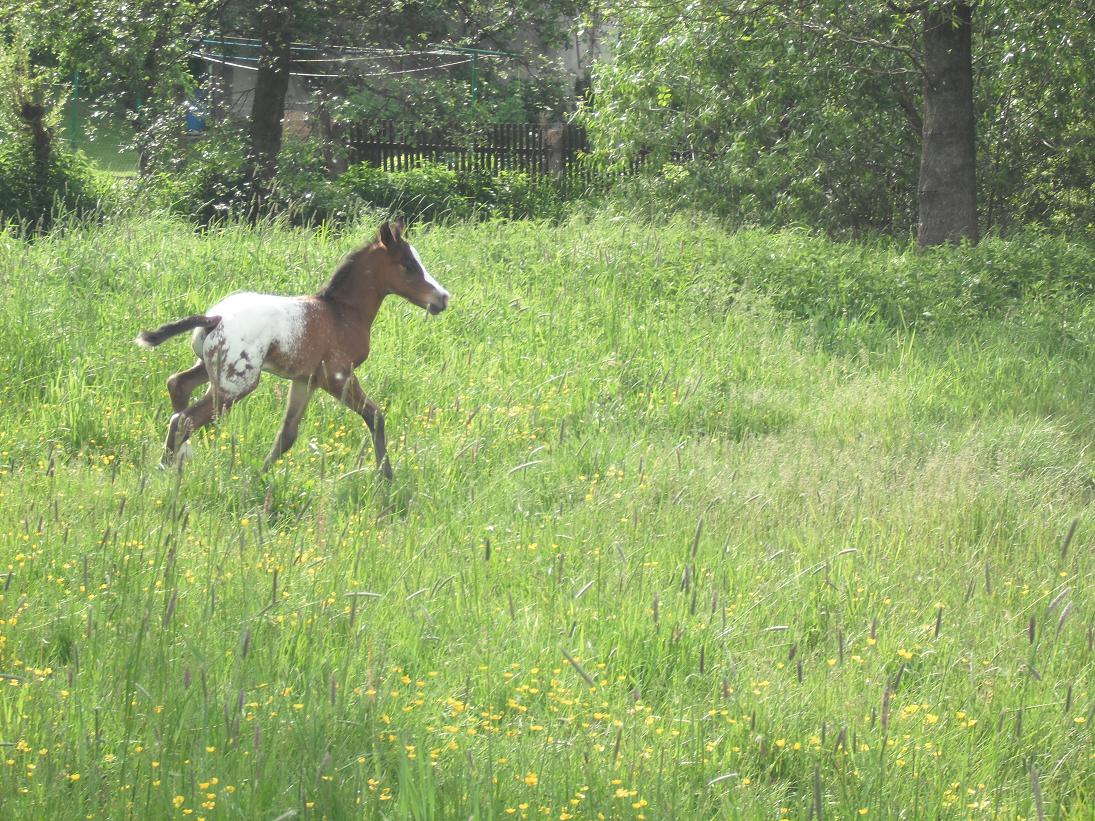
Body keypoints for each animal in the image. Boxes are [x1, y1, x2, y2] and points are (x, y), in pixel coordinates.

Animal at [134, 220, 446, 475]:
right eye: (408, 266)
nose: (442, 298)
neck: (341, 313)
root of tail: (214, 318)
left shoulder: (306, 380)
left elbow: (288, 434)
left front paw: (261, 474)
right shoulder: (337, 377)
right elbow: (376, 416)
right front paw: (386, 479)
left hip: (211, 371)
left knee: (178, 385)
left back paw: (180, 457)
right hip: (236, 384)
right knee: (184, 419)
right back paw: (165, 469)